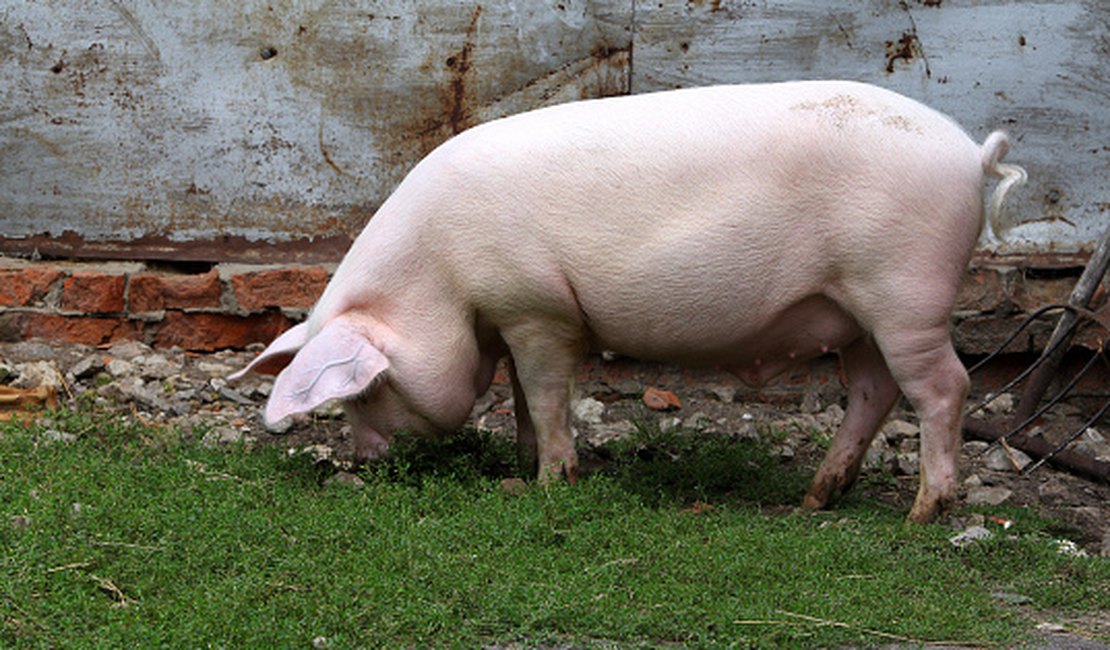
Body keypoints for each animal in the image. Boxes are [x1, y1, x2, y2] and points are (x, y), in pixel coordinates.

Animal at [229, 79, 1025, 521]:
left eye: (365, 392)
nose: (363, 461)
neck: (439, 276)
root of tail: (970, 156)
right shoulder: (515, 317)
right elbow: (524, 399)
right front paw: (524, 467)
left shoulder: (536, 309)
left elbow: (547, 394)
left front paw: (549, 484)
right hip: (857, 311)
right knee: (872, 390)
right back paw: (813, 500)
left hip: (904, 289)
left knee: (943, 386)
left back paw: (922, 516)